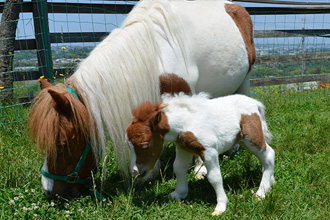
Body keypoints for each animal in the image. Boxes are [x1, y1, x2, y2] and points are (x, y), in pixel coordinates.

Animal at [28, 0, 255, 198]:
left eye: (62, 144)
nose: (49, 191)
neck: (156, 52)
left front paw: (199, 170)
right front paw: (151, 172)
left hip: (244, 80)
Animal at [125, 92, 274, 215]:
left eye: (144, 145)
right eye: (129, 146)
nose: (135, 171)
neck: (186, 123)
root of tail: (255, 102)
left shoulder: (209, 151)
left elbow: (214, 177)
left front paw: (220, 206)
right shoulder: (183, 148)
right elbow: (178, 168)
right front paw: (178, 194)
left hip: (251, 138)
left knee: (269, 155)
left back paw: (260, 193)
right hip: (243, 141)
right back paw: (270, 182)